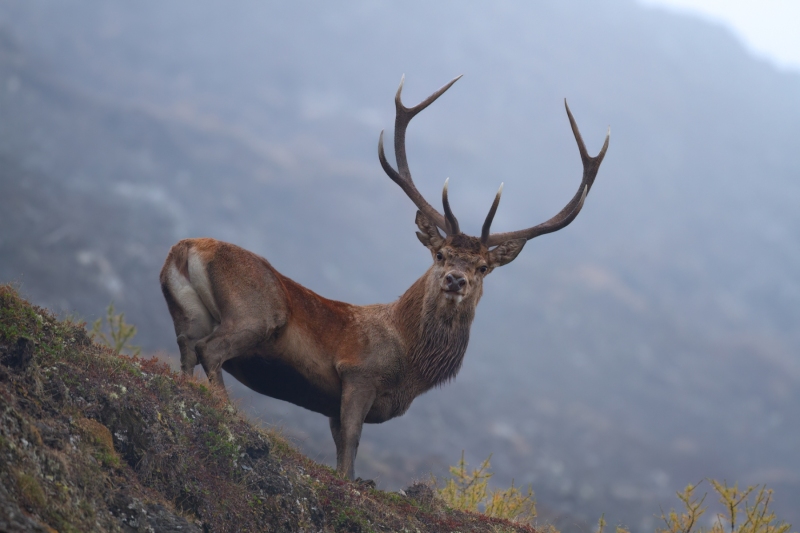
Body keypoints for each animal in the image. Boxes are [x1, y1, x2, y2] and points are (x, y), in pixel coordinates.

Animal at [160, 75, 609, 480]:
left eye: (482, 267)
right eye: (441, 254)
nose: (455, 280)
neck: (410, 365)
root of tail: (187, 249)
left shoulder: (333, 402)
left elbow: (342, 445)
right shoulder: (358, 374)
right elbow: (351, 446)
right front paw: (351, 483)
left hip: (186, 314)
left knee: (186, 349)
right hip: (254, 314)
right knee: (211, 350)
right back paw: (226, 409)